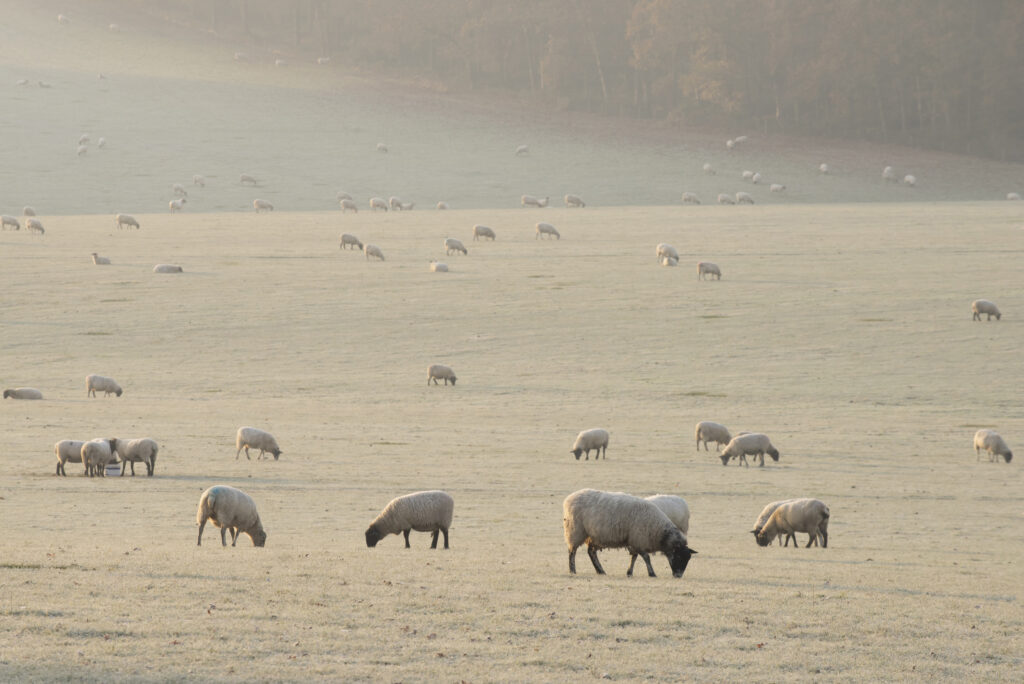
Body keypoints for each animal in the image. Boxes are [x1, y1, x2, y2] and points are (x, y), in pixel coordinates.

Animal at [561, 489, 696, 581]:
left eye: (688, 558)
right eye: (679, 556)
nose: (678, 576)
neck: (658, 530)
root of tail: (570, 498)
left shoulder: (635, 541)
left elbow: (634, 557)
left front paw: (629, 572)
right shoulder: (639, 540)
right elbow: (646, 558)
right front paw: (652, 573)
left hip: (593, 535)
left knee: (591, 552)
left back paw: (600, 571)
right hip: (575, 531)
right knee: (572, 552)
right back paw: (573, 570)